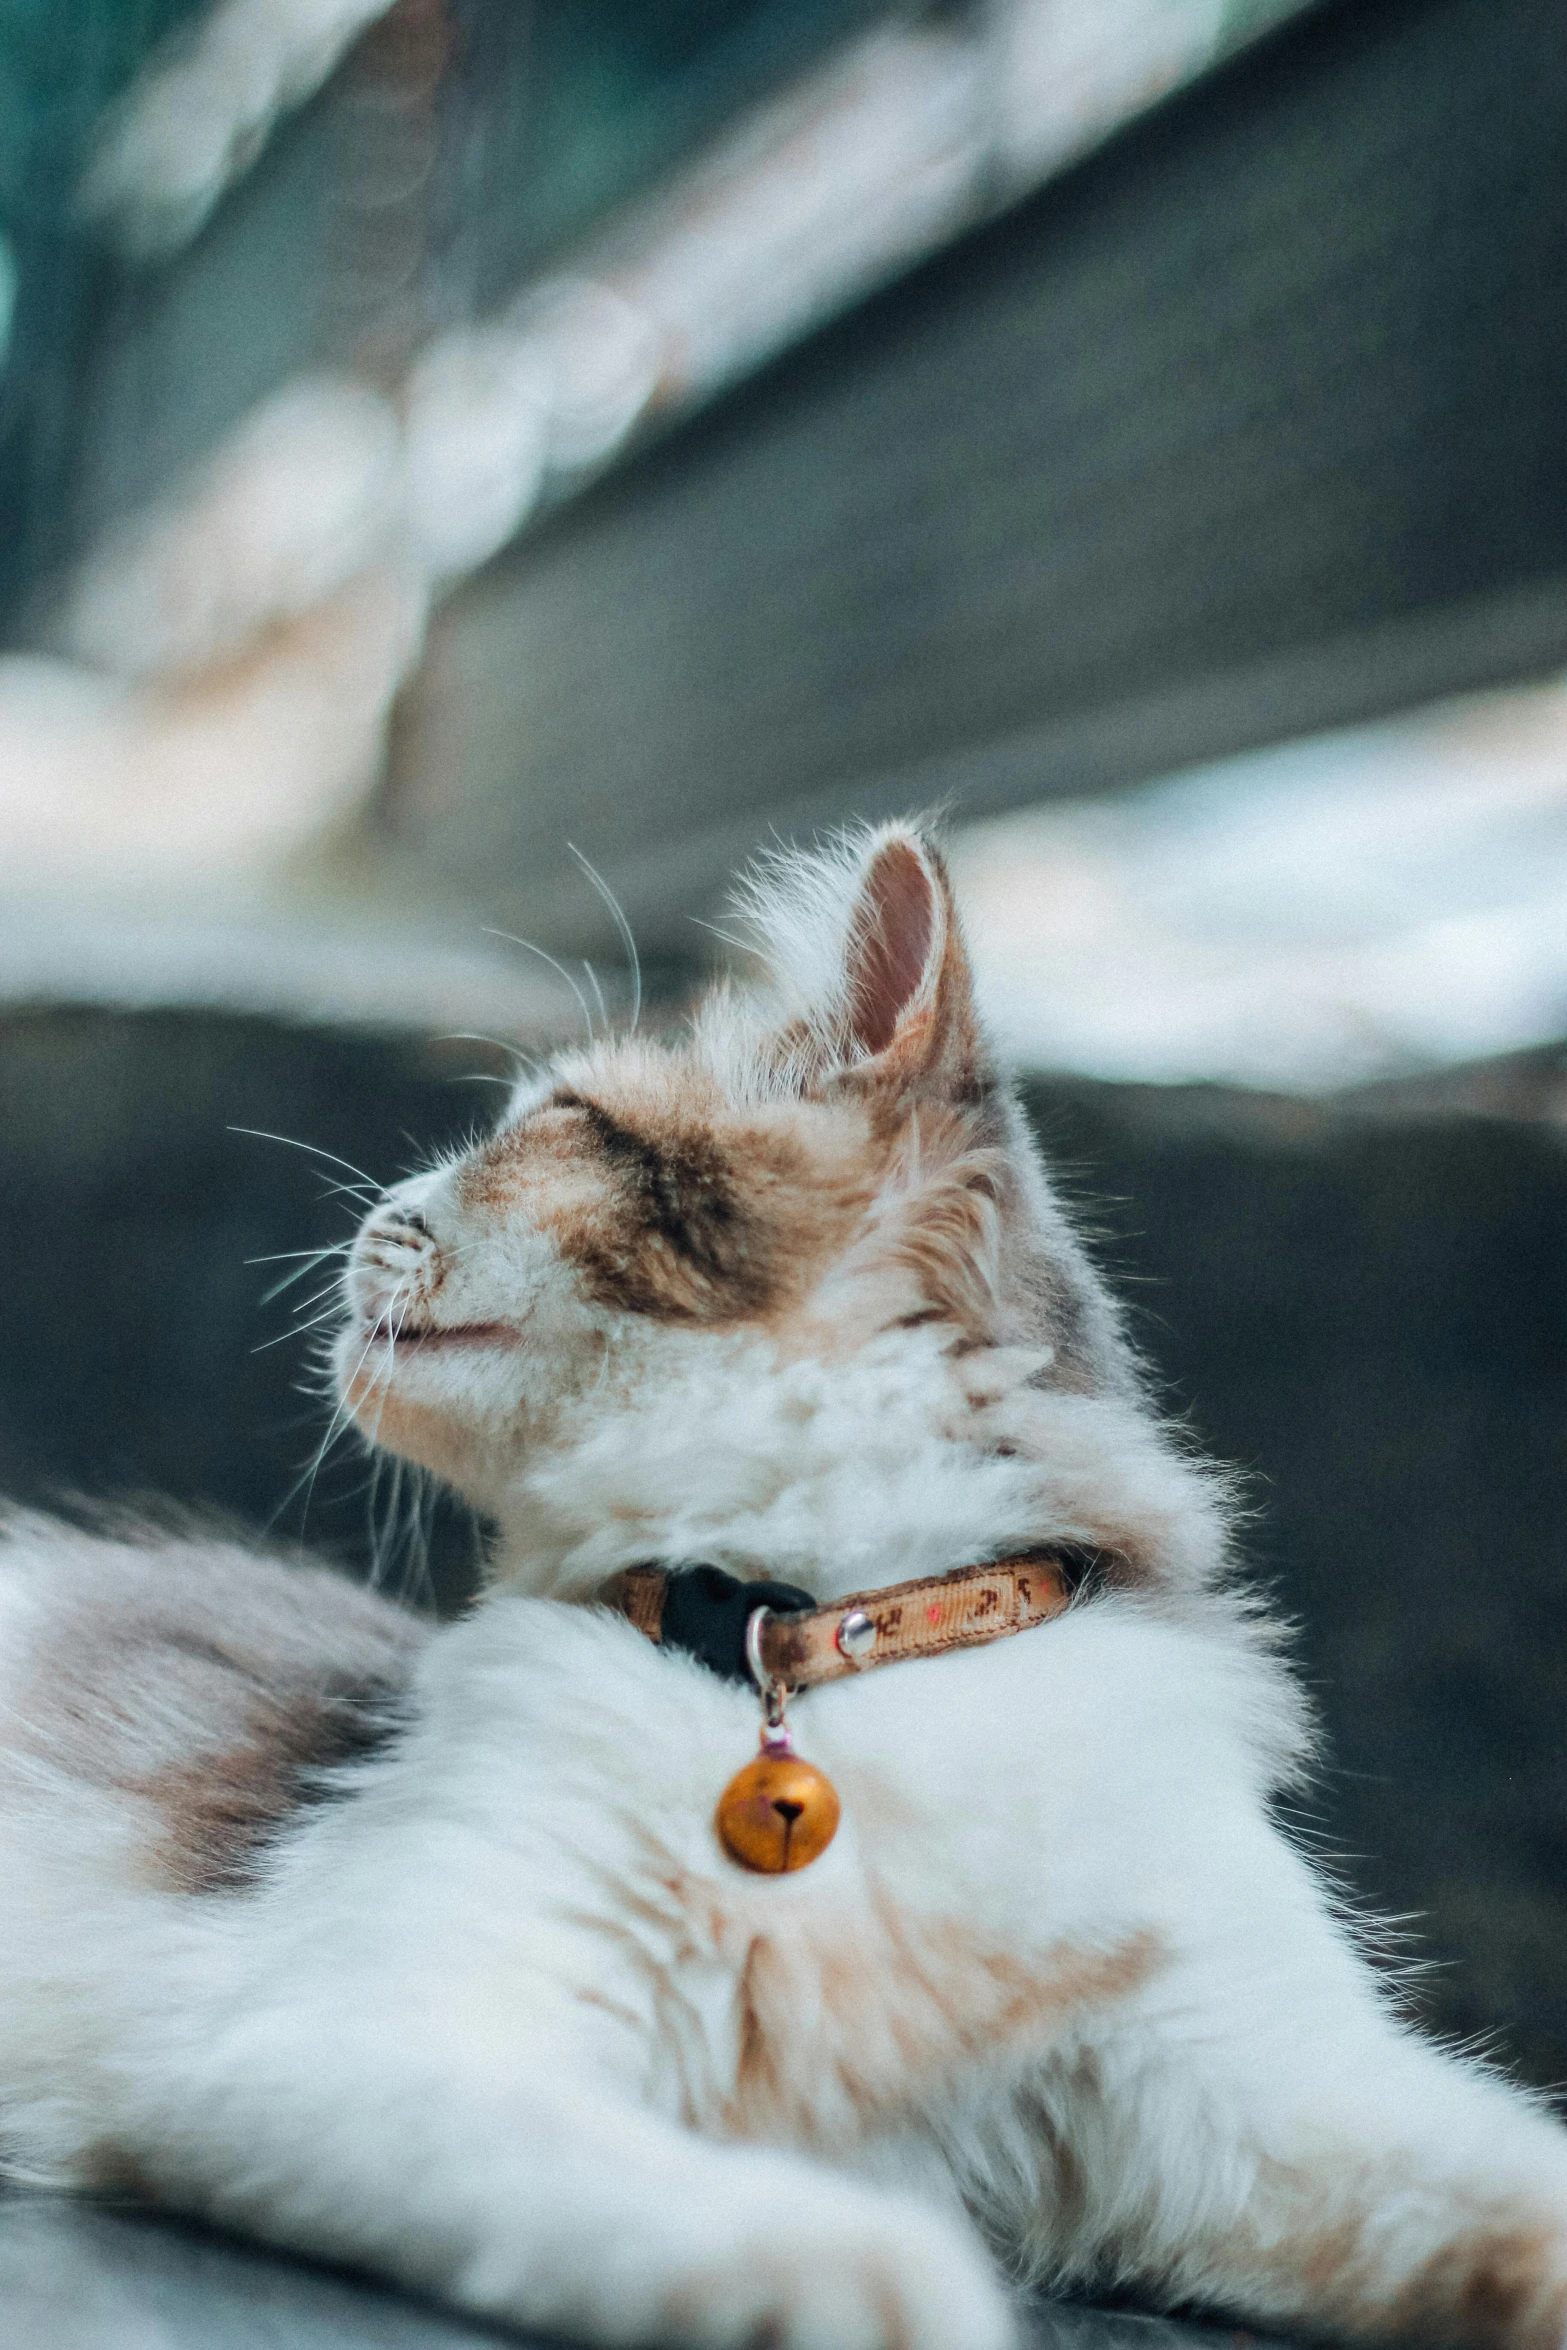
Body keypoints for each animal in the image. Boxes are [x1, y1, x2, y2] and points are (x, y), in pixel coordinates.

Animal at [3, 813, 1567, 2350]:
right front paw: (893, 2284)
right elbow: (705, 2205)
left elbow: (1511, 2191)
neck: (828, 1640)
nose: (373, 1207)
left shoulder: (1258, 2081)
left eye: (556, 1123)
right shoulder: (347, 2024)